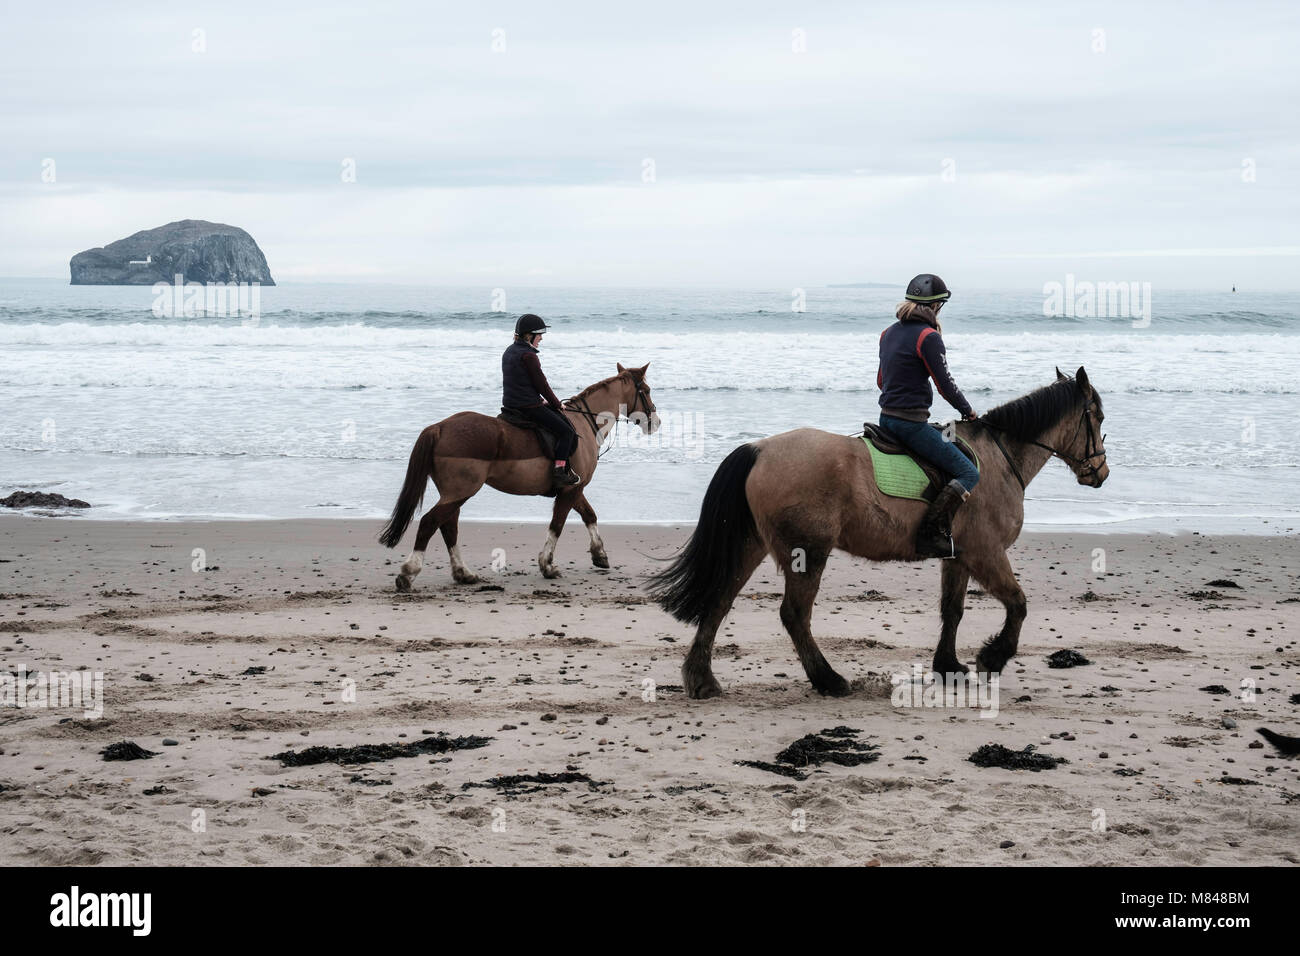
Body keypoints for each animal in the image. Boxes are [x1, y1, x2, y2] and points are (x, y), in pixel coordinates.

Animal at [379, 364, 655, 590]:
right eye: (647, 390)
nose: (655, 419)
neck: (584, 423)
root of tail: (440, 427)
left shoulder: (575, 488)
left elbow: (589, 515)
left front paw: (599, 555)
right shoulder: (570, 490)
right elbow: (557, 525)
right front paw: (548, 566)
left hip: (454, 494)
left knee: (448, 526)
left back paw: (463, 573)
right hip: (460, 491)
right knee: (430, 522)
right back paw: (409, 573)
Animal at [650, 369, 1107, 697]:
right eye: (1097, 416)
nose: (1100, 473)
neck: (998, 458)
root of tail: (759, 449)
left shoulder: (958, 557)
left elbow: (953, 610)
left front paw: (948, 667)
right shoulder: (986, 552)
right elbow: (1018, 604)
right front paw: (992, 658)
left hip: (751, 546)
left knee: (719, 601)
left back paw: (702, 680)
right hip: (808, 552)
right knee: (794, 615)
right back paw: (828, 680)